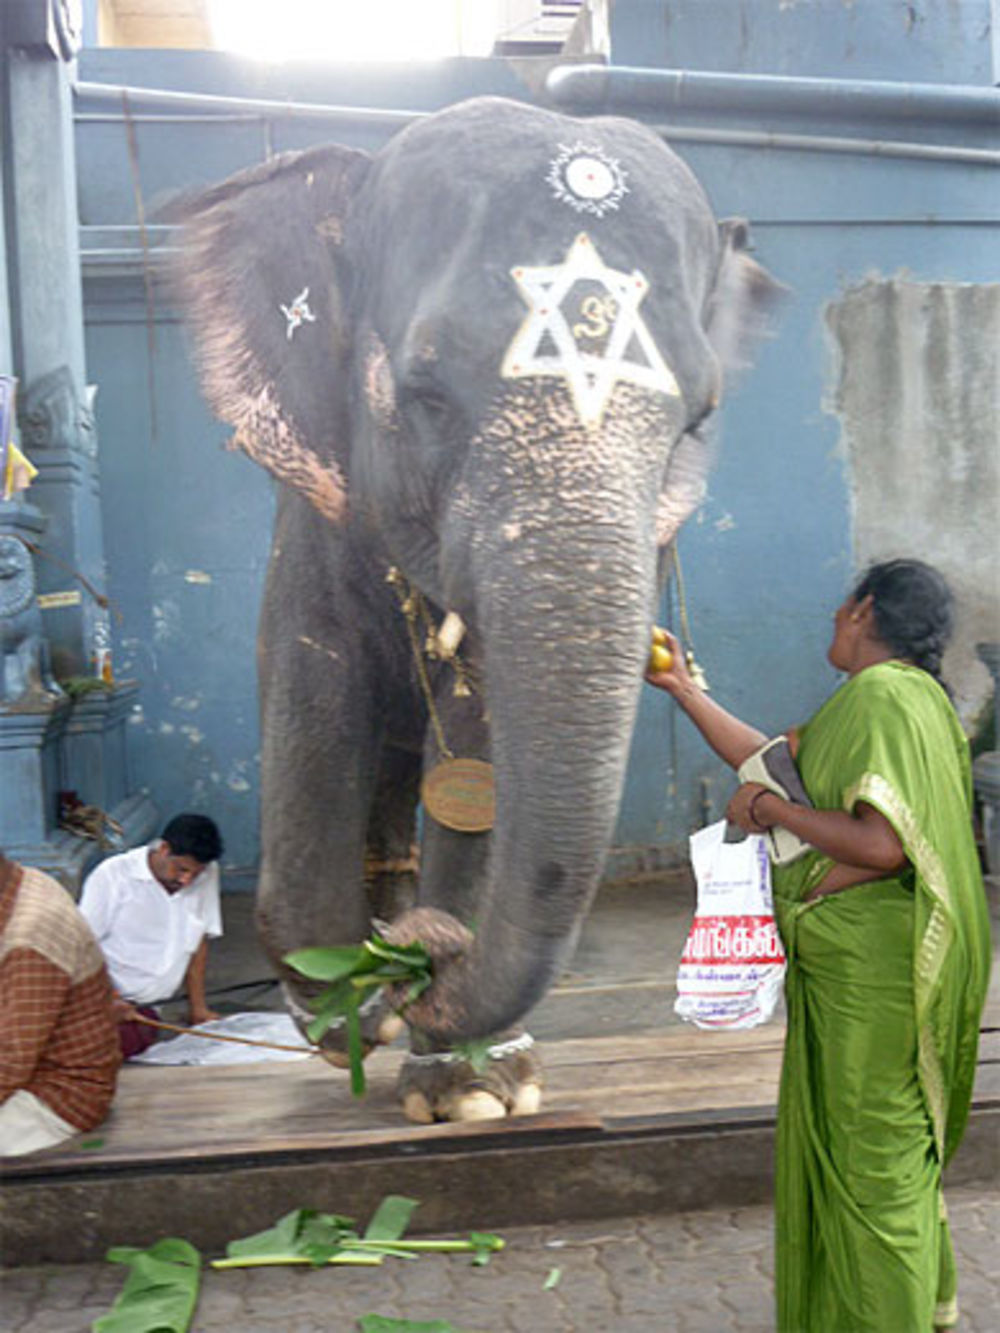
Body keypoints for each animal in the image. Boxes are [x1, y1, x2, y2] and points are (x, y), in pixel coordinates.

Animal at [176, 93, 778, 1119]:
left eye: (698, 419)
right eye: (423, 393)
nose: (430, 957)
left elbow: (480, 742)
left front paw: (472, 1090)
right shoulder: (315, 513)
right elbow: (313, 681)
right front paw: (340, 1003)